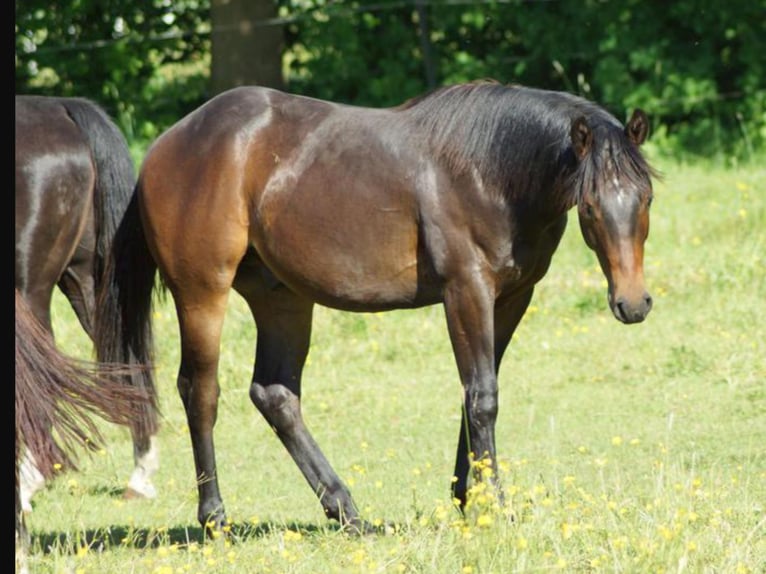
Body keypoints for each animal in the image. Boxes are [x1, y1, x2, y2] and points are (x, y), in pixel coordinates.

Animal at [115, 80, 656, 535]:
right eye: (591, 207)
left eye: (646, 198)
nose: (633, 303)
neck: (489, 173)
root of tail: (169, 143)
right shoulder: (466, 291)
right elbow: (483, 397)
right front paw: (494, 507)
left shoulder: (511, 298)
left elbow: (474, 394)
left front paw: (466, 498)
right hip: (202, 293)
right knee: (200, 392)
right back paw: (215, 519)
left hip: (282, 298)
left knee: (275, 395)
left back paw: (346, 511)